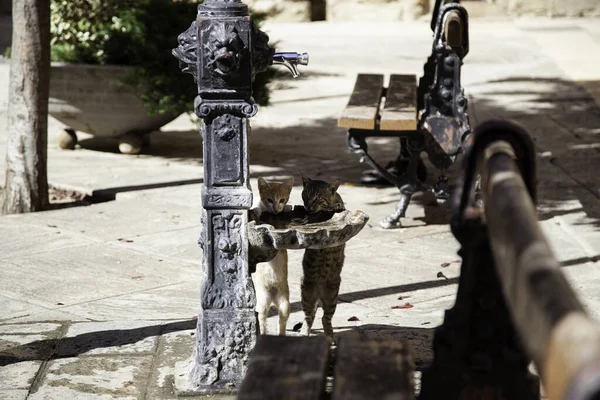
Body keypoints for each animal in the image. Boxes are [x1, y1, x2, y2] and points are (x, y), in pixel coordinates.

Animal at [252, 177, 294, 336]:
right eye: (269, 199)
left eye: (282, 200)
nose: (276, 209)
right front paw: (257, 209)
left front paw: (287, 208)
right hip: (262, 300)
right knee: (262, 318)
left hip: (285, 303)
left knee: (281, 322)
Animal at [298, 175, 344, 344]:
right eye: (306, 195)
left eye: (318, 197)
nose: (308, 206)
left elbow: (339, 205)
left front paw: (335, 205)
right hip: (306, 294)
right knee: (309, 317)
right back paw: (304, 333)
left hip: (332, 297)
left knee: (325, 318)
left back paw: (330, 337)